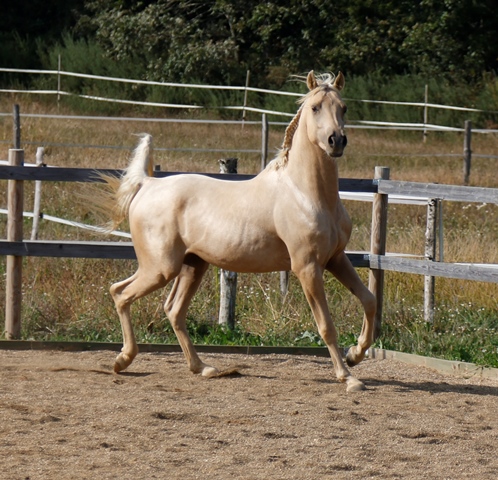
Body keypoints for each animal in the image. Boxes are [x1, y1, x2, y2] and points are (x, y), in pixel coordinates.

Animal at [100, 72, 374, 394]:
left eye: (343, 108)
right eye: (315, 107)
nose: (336, 141)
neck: (306, 193)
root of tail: (147, 184)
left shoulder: (336, 259)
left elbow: (369, 300)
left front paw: (355, 354)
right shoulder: (307, 267)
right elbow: (326, 326)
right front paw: (348, 377)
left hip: (193, 265)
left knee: (173, 310)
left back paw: (203, 367)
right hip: (160, 267)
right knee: (120, 293)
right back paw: (123, 360)